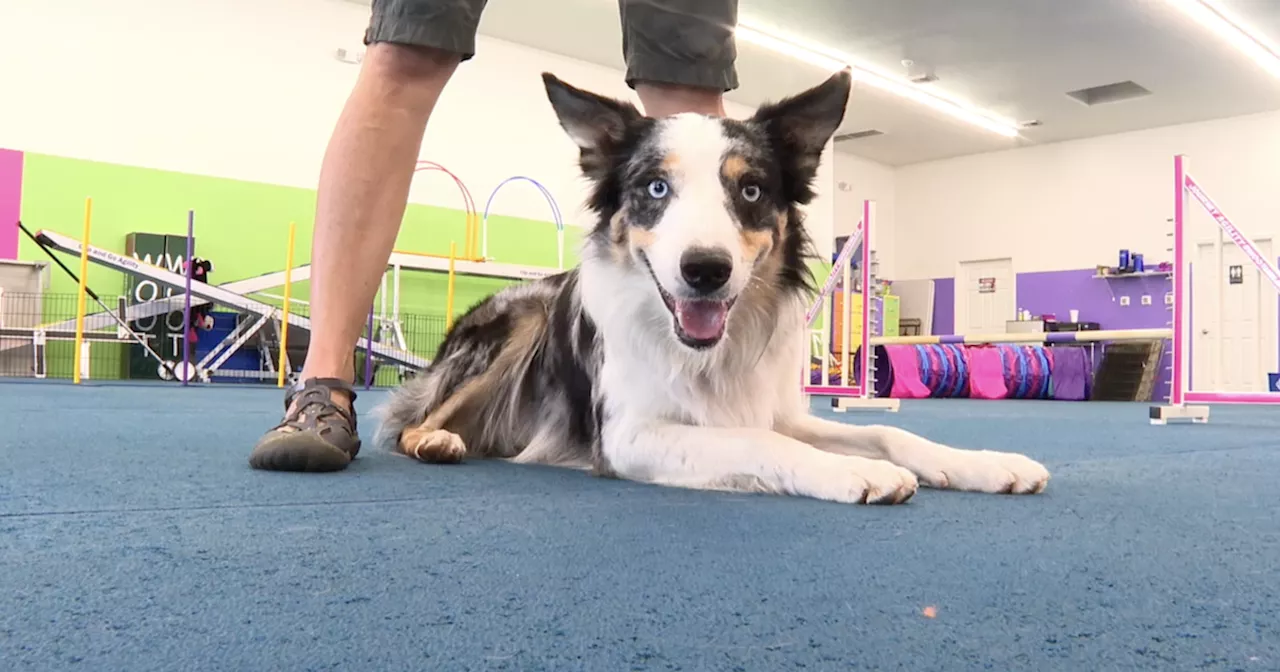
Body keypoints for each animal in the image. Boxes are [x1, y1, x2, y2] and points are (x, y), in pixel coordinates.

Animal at [373, 69, 1049, 501]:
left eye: (749, 190)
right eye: (655, 188)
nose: (705, 269)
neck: (703, 353)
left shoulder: (773, 407)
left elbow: (887, 429)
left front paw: (983, 465)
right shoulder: (628, 435)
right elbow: (756, 442)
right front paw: (855, 474)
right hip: (525, 318)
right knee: (407, 422)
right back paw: (438, 439)